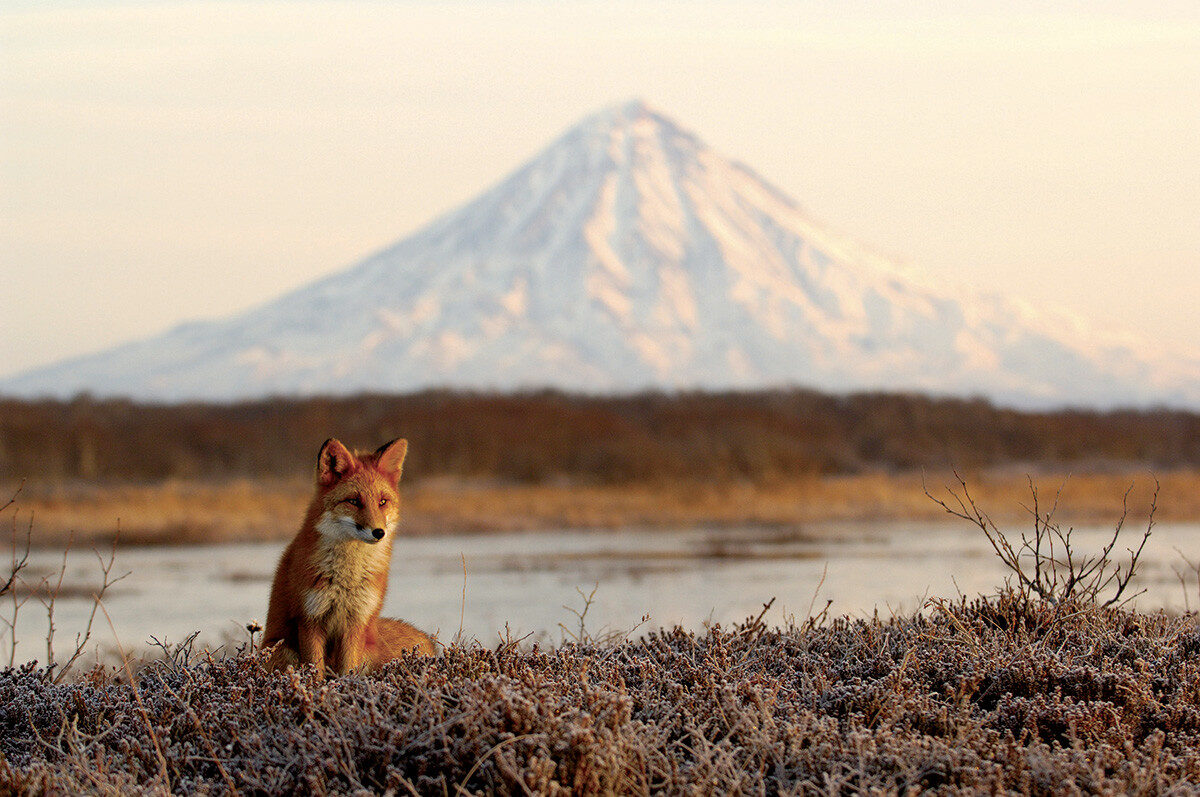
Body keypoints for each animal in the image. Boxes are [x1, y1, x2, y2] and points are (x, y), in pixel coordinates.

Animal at [263, 437, 435, 677]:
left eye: (382, 502)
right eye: (354, 501)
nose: (379, 532)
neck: (346, 578)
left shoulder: (356, 622)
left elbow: (347, 672)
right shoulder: (309, 620)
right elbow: (316, 673)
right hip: (284, 651)